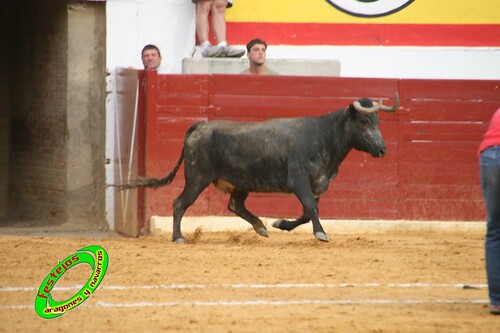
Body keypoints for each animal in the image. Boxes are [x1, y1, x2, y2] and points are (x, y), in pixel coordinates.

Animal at [116, 94, 398, 243]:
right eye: (364, 122)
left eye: (377, 121)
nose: (383, 149)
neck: (323, 136)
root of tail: (200, 126)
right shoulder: (299, 181)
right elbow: (310, 208)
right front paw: (321, 233)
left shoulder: (317, 184)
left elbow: (307, 212)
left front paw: (280, 224)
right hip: (196, 179)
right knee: (179, 203)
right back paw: (178, 237)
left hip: (240, 183)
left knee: (234, 204)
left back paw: (261, 227)